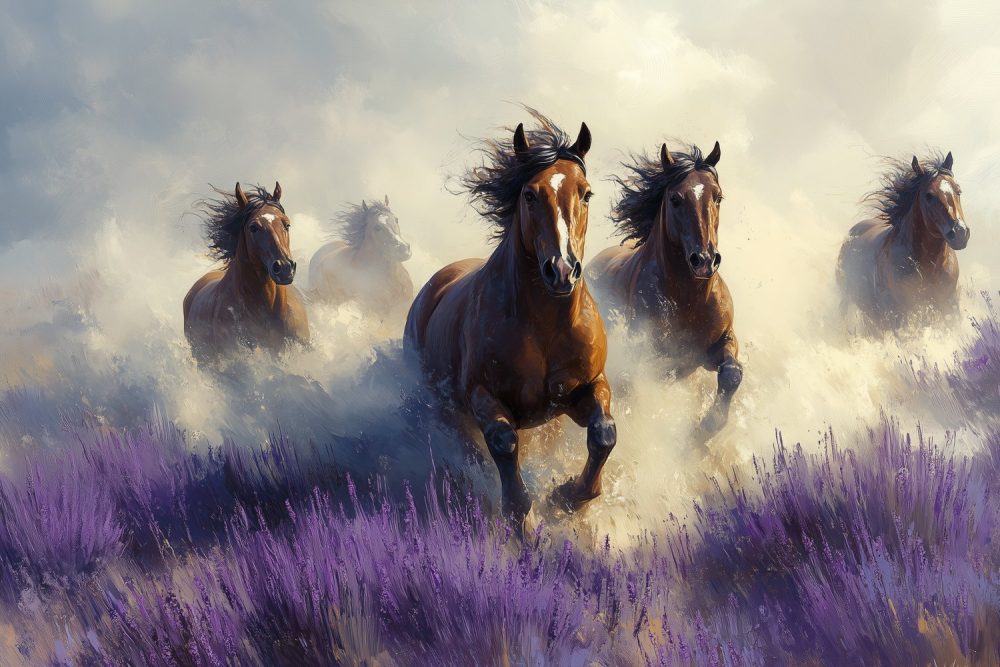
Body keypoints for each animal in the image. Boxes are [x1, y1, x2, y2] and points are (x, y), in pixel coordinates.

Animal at [404, 110, 616, 529]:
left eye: (585, 193)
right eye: (529, 194)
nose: (561, 271)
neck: (545, 328)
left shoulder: (586, 388)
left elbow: (603, 435)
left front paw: (567, 496)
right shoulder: (483, 398)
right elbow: (504, 446)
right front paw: (523, 521)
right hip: (448, 411)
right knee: (472, 453)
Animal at [586, 141, 741, 436]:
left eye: (718, 197)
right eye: (675, 199)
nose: (704, 260)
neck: (688, 301)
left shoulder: (721, 341)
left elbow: (732, 373)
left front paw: (711, 423)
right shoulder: (653, 361)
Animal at [837, 152, 969, 330]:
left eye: (958, 190)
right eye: (929, 195)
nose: (960, 233)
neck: (929, 268)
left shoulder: (950, 307)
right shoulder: (899, 315)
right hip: (847, 299)